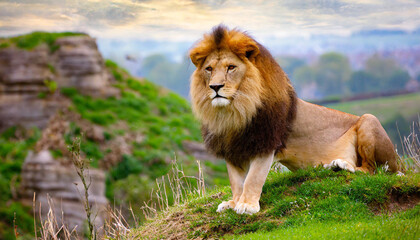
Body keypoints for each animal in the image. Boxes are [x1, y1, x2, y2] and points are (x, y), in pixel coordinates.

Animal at [188, 25, 400, 215]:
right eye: (209, 69)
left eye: (231, 67)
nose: (215, 87)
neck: (233, 112)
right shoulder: (231, 148)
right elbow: (236, 181)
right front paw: (233, 203)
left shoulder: (267, 142)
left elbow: (253, 178)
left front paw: (247, 206)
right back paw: (334, 165)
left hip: (369, 120)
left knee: (372, 169)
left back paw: (343, 165)